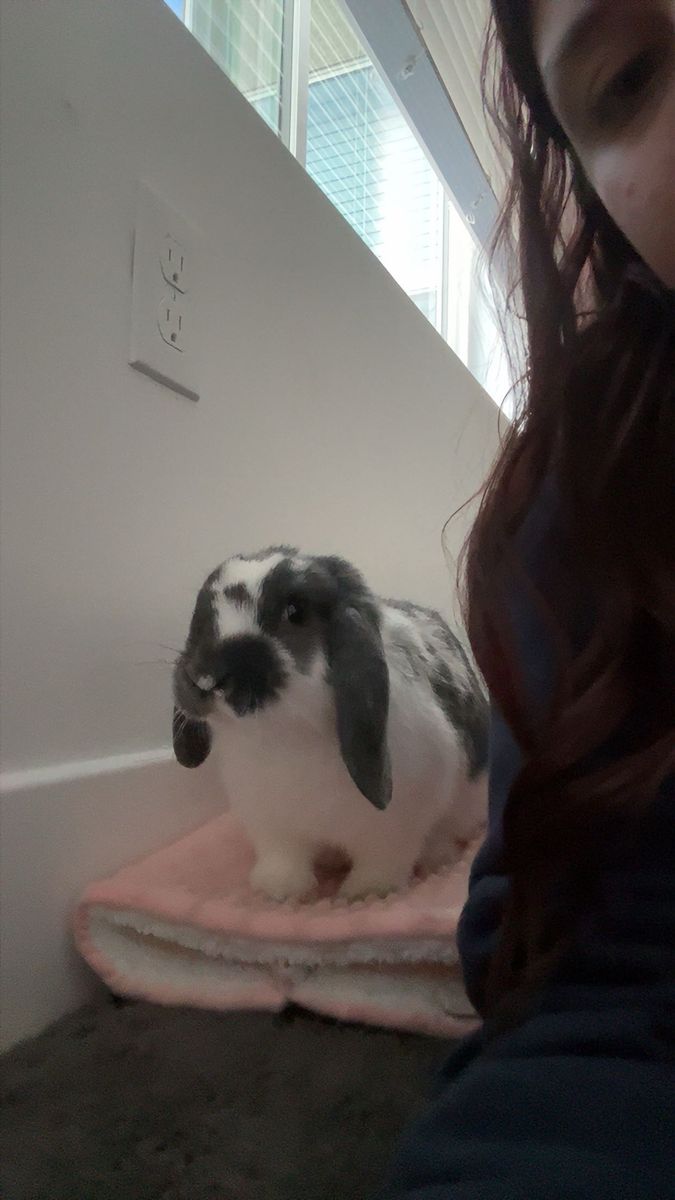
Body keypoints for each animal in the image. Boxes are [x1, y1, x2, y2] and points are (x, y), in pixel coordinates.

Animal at [172, 546, 489, 902]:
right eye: (202, 612)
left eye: (295, 612)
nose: (205, 677)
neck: (282, 734)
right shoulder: (274, 828)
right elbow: (283, 859)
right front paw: (278, 891)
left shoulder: (393, 827)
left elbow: (382, 861)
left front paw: (364, 894)